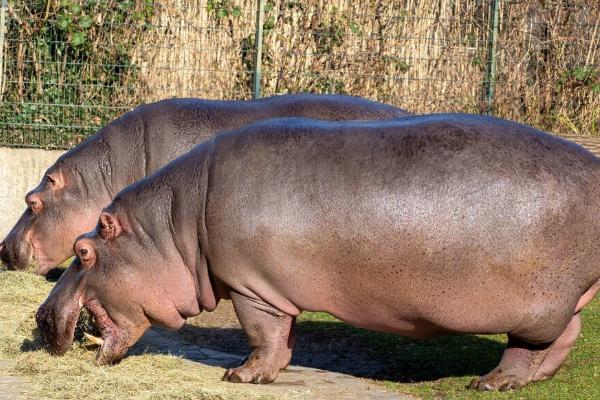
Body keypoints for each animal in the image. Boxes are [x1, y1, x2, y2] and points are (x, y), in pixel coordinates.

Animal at [36, 114, 600, 390]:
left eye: (83, 250)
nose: (40, 317)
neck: (171, 228)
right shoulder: (272, 287)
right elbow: (284, 337)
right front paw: (271, 372)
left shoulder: (250, 287)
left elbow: (262, 334)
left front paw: (239, 376)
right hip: (562, 300)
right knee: (562, 340)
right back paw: (520, 381)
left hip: (535, 306)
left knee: (530, 345)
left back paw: (491, 384)